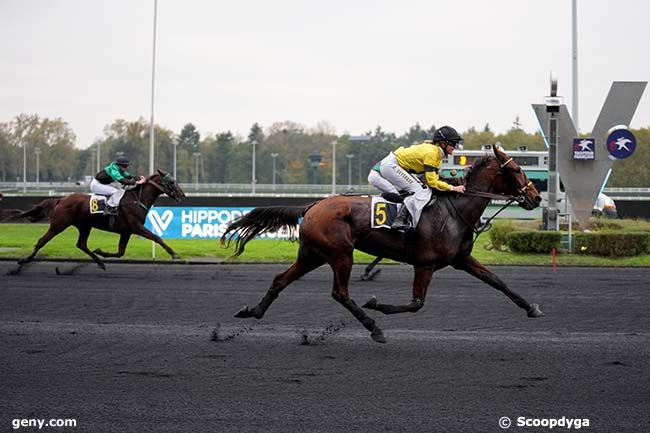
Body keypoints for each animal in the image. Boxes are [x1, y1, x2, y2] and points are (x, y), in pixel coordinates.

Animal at [8, 170, 185, 274]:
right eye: (171, 181)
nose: (182, 195)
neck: (137, 200)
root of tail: (61, 199)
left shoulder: (126, 231)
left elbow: (120, 252)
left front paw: (101, 252)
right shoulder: (137, 227)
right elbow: (157, 237)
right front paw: (174, 254)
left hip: (84, 226)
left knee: (81, 244)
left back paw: (99, 262)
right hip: (59, 224)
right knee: (42, 240)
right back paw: (22, 263)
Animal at [221, 145, 540, 340]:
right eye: (515, 170)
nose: (535, 197)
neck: (453, 212)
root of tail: (312, 206)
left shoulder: (461, 259)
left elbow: (497, 281)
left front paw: (531, 308)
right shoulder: (425, 264)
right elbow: (416, 303)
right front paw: (377, 305)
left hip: (312, 254)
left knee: (280, 279)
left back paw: (253, 311)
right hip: (340, 254)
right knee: (340, 293)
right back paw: (374, 328)